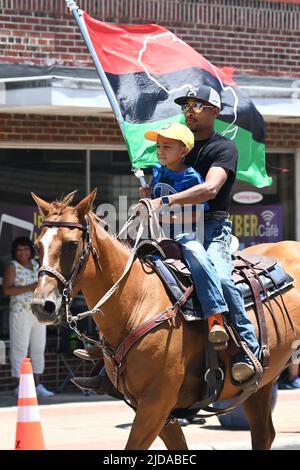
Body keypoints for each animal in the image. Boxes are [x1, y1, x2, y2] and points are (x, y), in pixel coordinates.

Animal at [31, 189, 300, 450]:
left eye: (71, 245)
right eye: (37, 246)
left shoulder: (155, 404)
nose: (42, 305)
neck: (138, 302)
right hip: (262, 383)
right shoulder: (156, 410)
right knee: (263, 434)